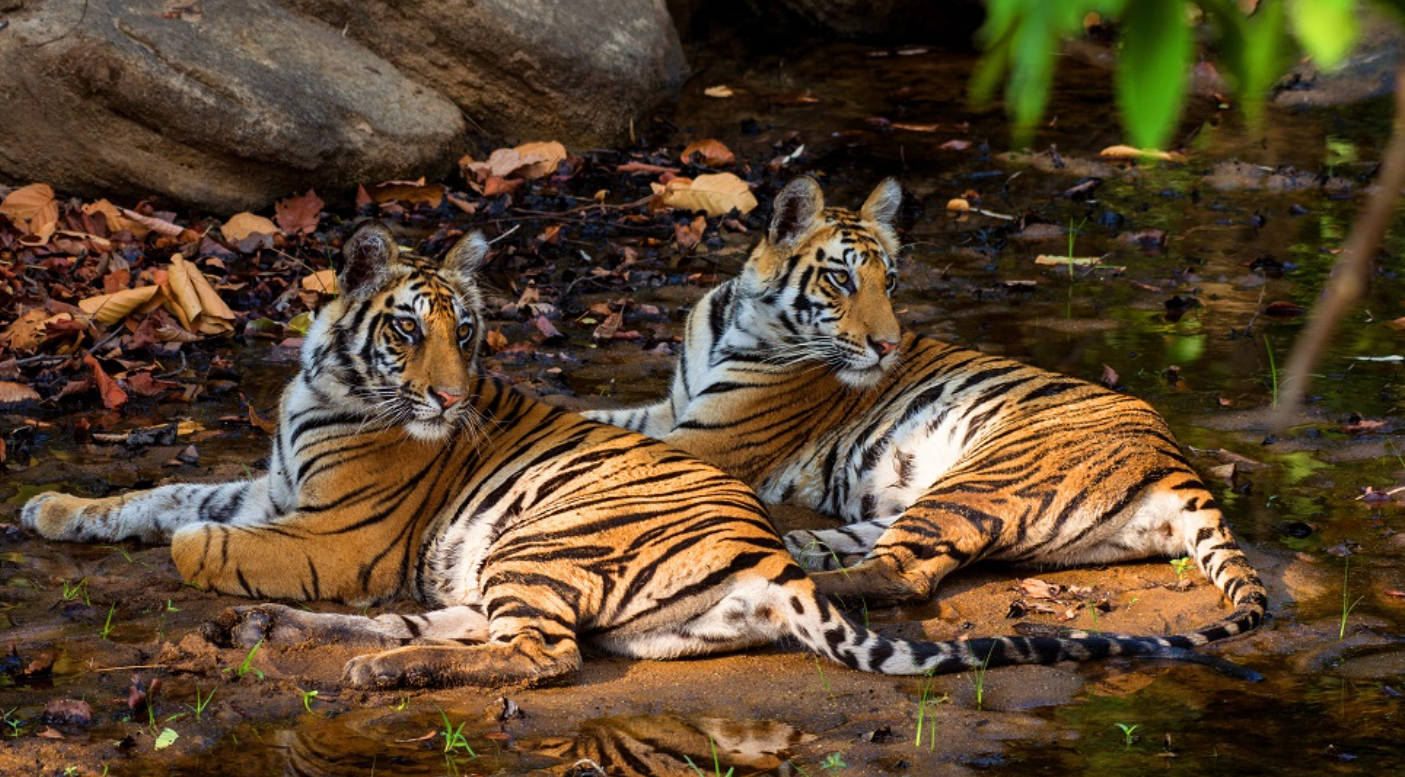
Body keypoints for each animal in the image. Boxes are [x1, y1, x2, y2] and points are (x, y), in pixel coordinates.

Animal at [21, 221, 1258, 688]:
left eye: (467, 334)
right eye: (410, 330)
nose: (448, 396)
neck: (324, 383)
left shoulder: (335, 535)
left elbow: (209, 536)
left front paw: (192, 552)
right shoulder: (273, 478)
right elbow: (165, 489)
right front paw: (52, 509)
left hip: (540, 545)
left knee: (538, 658)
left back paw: (363, 666)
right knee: (469, 633)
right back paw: (296, 640)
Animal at [583, 176, 1267, 654]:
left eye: (889, 282)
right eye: (841, 280)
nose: (887, 345)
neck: (737, 318)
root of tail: (1178, 461)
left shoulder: (710, 437)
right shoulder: (670, 409)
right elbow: (595, 419)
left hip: (983, 478)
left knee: (898, 575)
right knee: (874, 551)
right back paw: (792, 546)